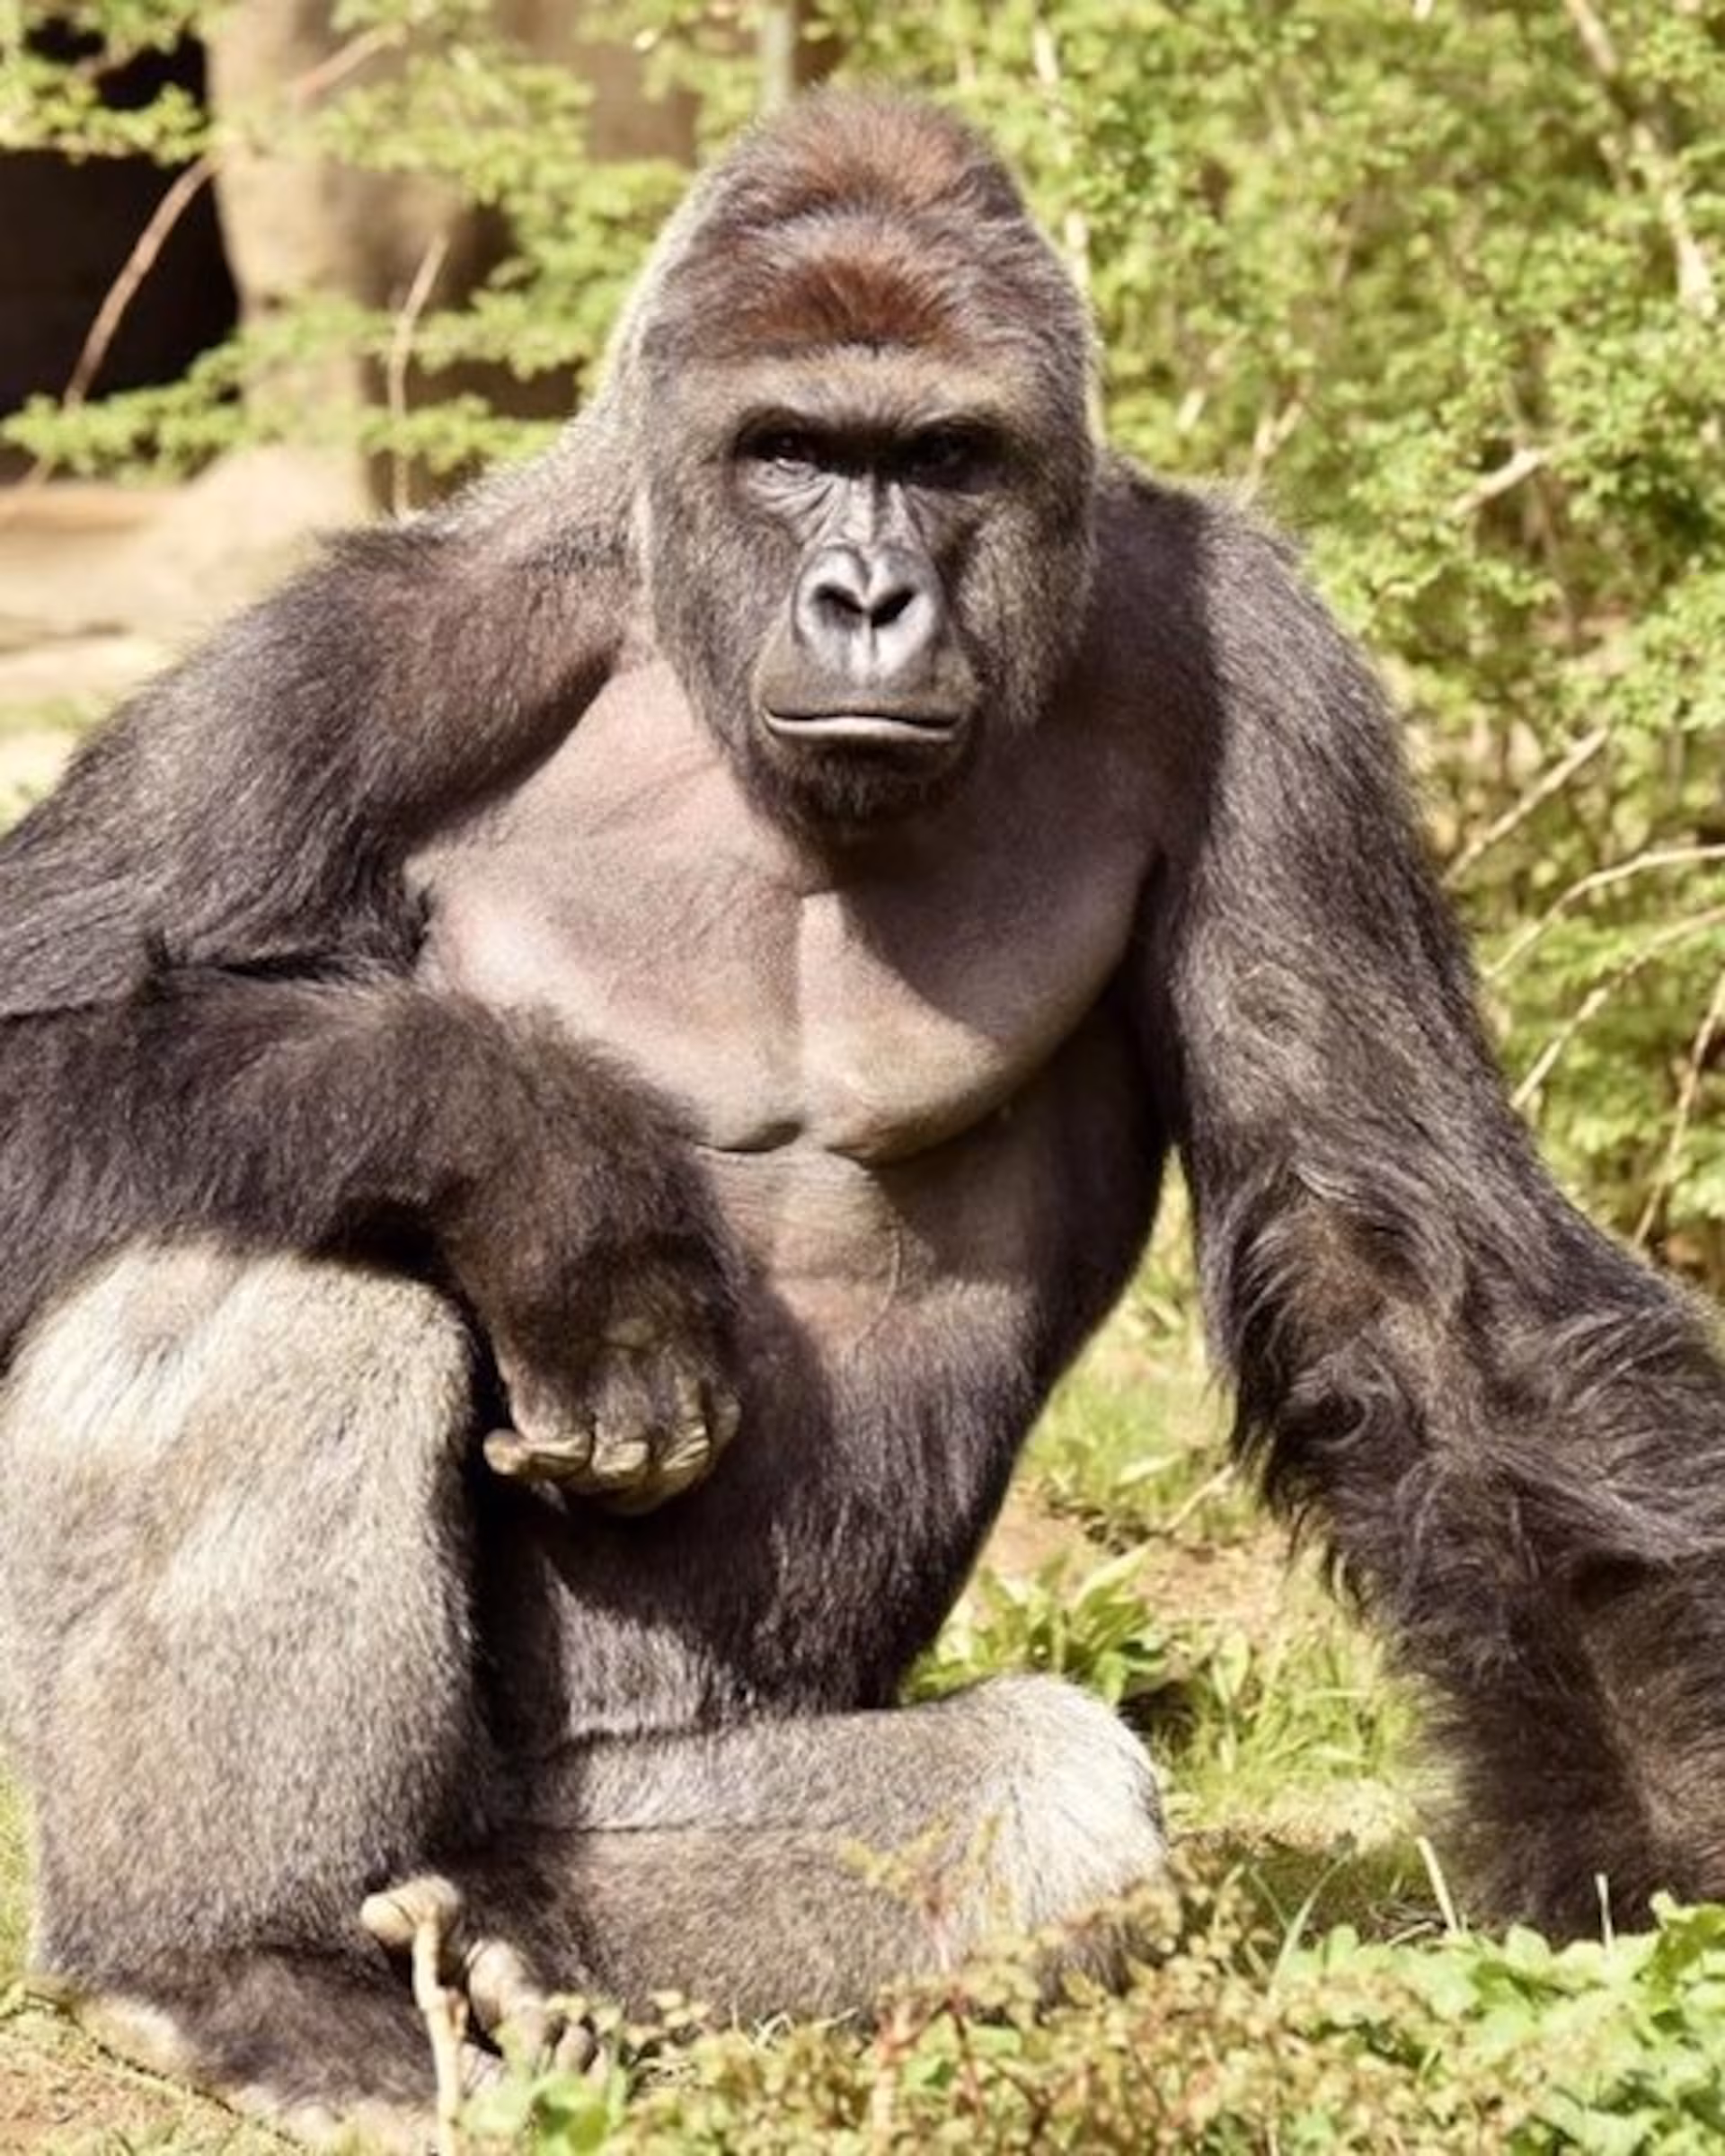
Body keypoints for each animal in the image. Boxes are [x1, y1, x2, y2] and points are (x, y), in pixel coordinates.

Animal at [0, 89, 1722, 2137]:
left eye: (943, 457)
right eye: (794, 452)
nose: (871, 597)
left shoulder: (1260, 673)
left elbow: (1400, 1259)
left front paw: (1660, 1850)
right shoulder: (359, 657)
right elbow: (46, 1021)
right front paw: (537, 1157)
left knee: (1045, 1803)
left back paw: (512, 1940)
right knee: (290, 1245)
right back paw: (230, 1963)